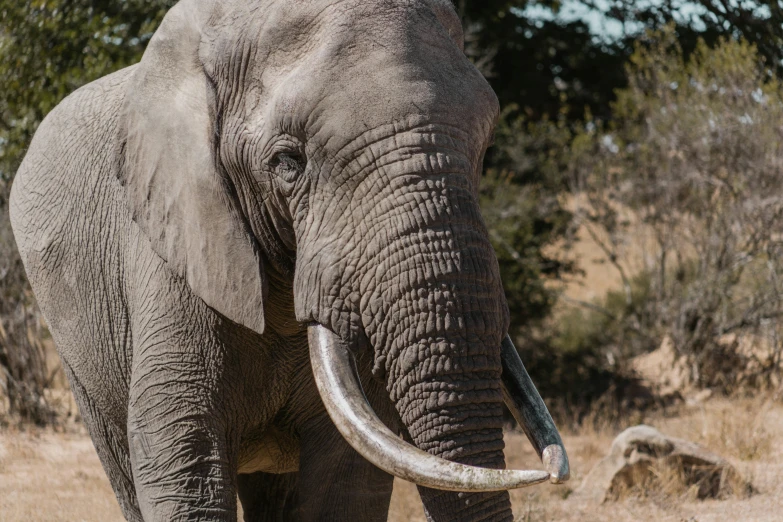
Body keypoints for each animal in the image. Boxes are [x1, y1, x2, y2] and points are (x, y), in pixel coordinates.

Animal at [10, 0, 568, 516]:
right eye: (287, 163)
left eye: (484, 147)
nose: (549, 475)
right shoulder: (173, 242)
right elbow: (183, 460)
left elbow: (343, 480)